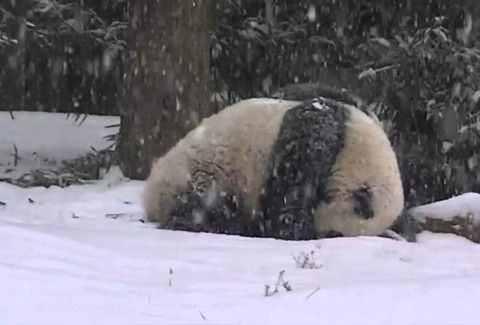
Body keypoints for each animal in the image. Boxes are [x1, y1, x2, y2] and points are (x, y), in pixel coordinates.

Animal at [143, 96, 404, 238]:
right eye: (334, 234)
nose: (317, 233)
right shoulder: (319, 131)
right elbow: (290, 192)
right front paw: (291, 227)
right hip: (202, 169)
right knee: (203, 200)